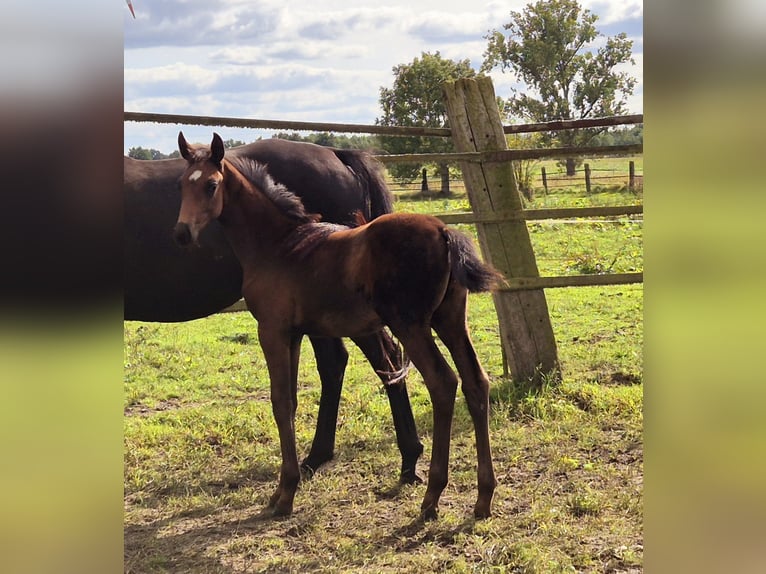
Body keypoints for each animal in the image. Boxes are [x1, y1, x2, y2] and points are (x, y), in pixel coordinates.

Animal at [177, 133, 508, 520]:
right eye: (182, 184)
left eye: (211, 185)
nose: (182, 233)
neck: (278, 245)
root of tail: (443, 232)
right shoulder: (294, 334)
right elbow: (289, 403)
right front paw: (280, 491)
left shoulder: (271, 331)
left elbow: (279, 401)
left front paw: (286, 495)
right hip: (451, 320)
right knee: (476, 382)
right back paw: (483, 498)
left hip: (411, 325)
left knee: (443, 383)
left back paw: (431, 497)